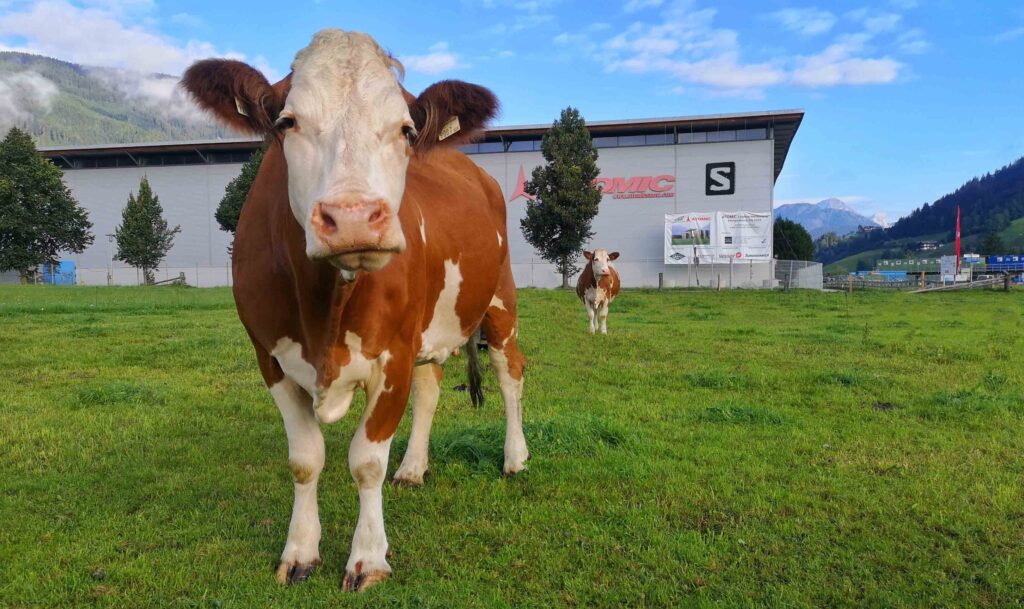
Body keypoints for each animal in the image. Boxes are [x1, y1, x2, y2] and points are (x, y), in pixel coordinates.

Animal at [181, 30, 528, 593]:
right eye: (287, 122)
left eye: (406, 129)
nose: (352, 218)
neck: (325, 306)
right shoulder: (270, 358)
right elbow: (305, 460)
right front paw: (300, 551)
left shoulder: (392, 356)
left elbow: (366, 462)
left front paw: (368, 558)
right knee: (430, 388)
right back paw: (413, 468)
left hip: (499, 298)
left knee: (508, 370)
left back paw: (515, 458)